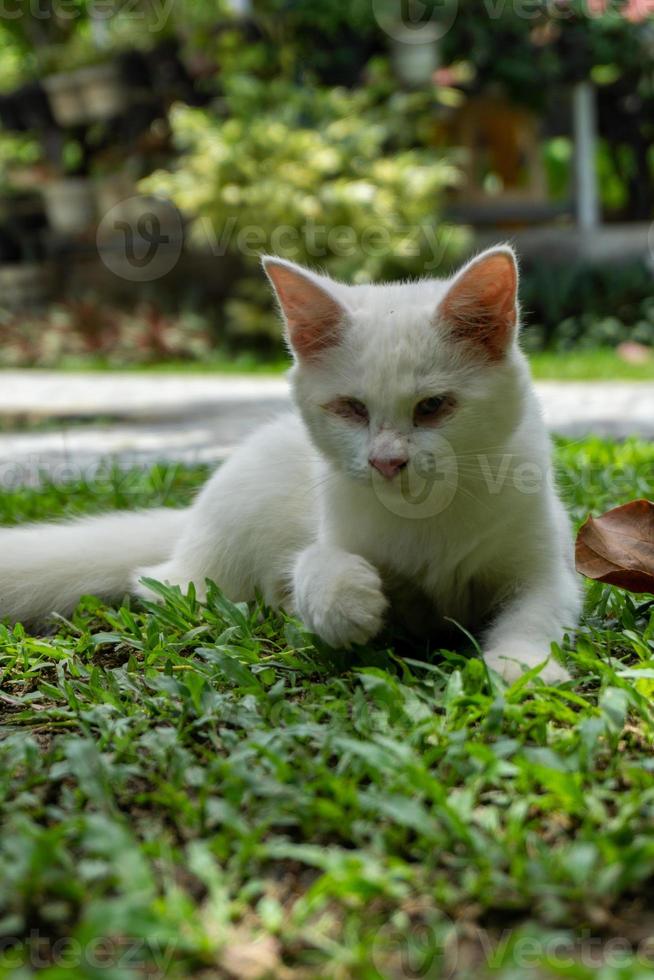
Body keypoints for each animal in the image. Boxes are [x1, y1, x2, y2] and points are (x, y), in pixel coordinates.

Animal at [0, 245, 584, 680]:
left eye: (433, 407)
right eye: (351, 408)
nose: (386, 462)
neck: (429, 523)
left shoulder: (546, 567)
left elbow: (536, 612)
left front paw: (520, 665)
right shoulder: (336, 534)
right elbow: (314, 565)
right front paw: (346, 602)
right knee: (164, 583)